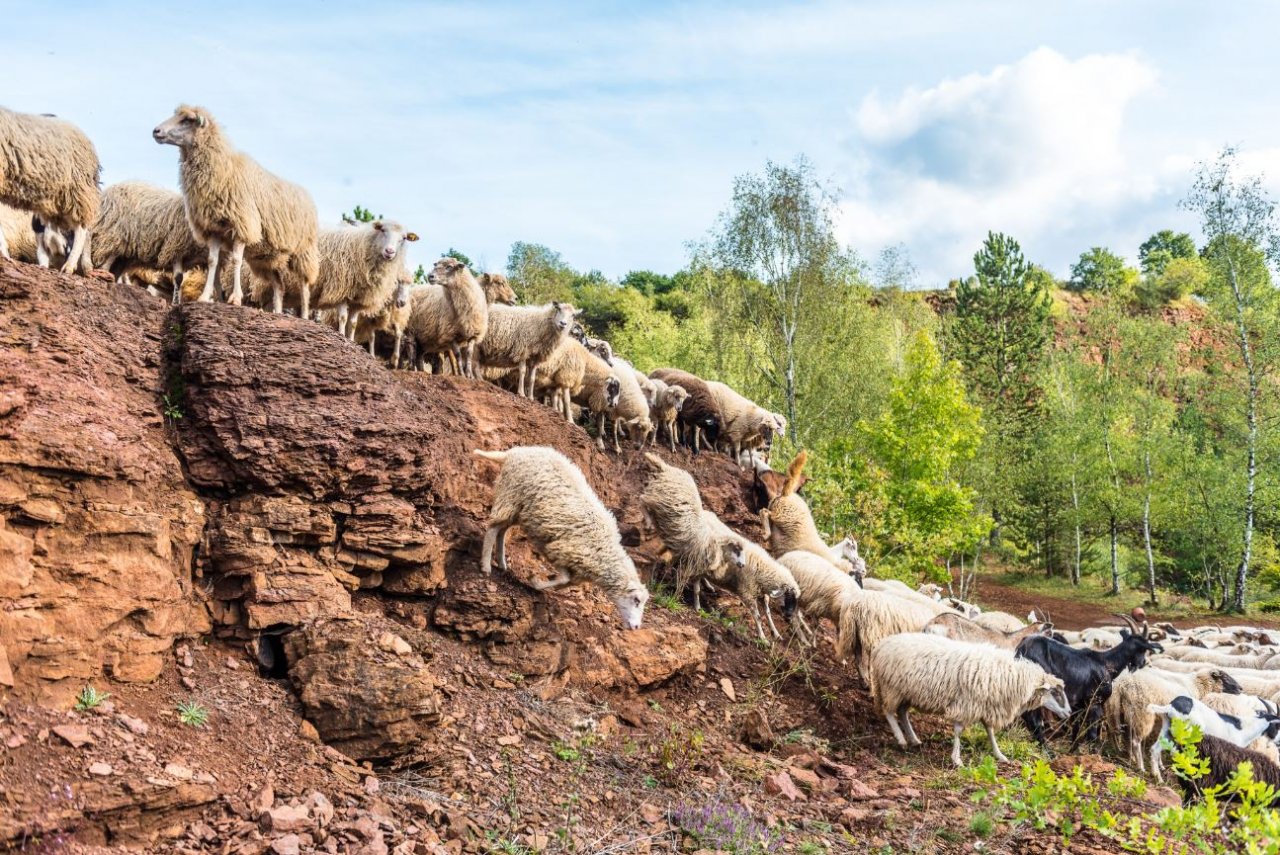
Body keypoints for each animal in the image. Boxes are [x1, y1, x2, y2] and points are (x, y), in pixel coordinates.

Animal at [152, 103, 320, 311]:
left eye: (187, 120)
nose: (156, 131)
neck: (224, 168)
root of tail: (307, 195)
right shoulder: (214, 229)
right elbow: (212, 262)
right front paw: (205, 296)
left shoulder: (242, 226)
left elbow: (236, 261)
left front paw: (235, 299)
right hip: (267, 258)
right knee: (279, 285)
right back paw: (278, 311)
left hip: (303, 252)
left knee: (305, 285)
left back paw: (303, 313)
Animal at [473, 447, 650, 627]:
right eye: (636, 600)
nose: (636, 627)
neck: (603, 551)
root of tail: (514, 452)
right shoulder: (560, 550)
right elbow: (563, 579)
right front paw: (535, 581)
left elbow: (564, 582)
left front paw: (541, 584)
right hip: (511, 494)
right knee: (493, 528)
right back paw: (486, 565)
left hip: (518, 507)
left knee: (502, 530)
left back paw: (502, 563)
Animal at [645, 450, 747, 604]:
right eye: (736, 549)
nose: (742, 565)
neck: (716, 545)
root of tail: (667, 468)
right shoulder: (692, 563)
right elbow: (686, 581)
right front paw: (677, 596)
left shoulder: (692, 560)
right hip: (656, 498)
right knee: (643, 502)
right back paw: (648, 524)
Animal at [870, 634, 1070, 767]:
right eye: (1055, 692)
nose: (1068, 713)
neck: (1011, 678)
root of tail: (882, 644)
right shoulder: (967, 704)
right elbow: (959, 731)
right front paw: (957, 759)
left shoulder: (987, 706)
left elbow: (990, 731)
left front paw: (999, 755)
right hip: (891, 687)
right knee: (888, 711)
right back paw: (901, 739)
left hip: (906, 692)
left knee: (902, 712)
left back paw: (913, 739)